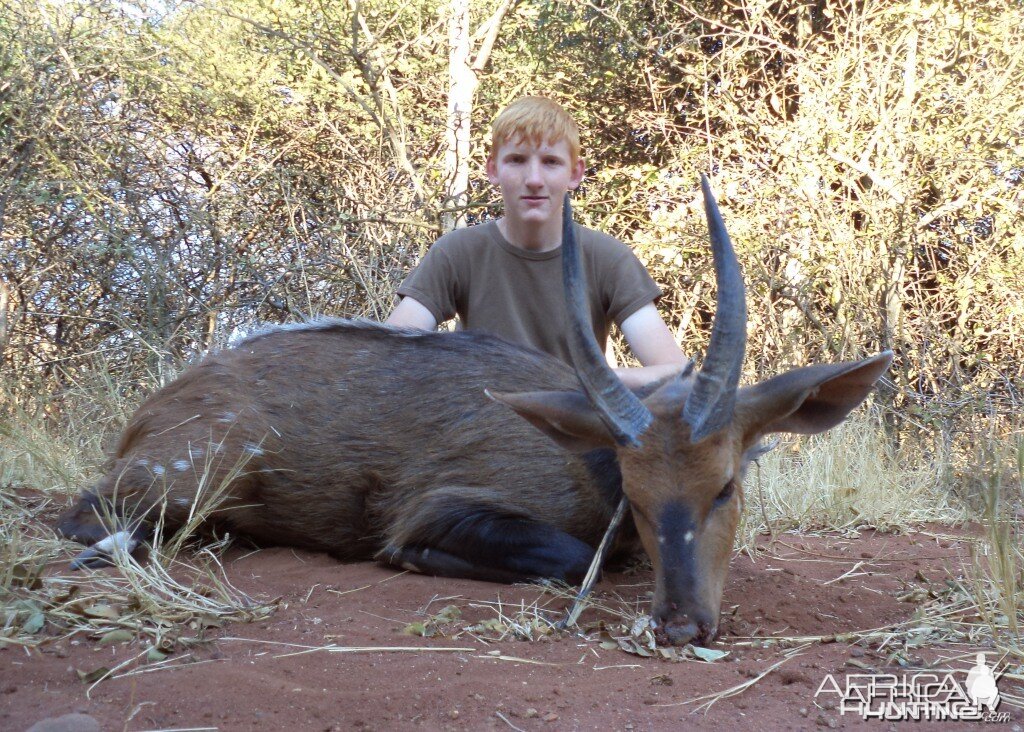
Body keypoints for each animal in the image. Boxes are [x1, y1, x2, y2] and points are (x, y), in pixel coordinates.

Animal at [58, 179, 888, 647]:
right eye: (639, 494)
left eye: (726, 486)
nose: (682, 623)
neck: (587, 469)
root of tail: (152, 409)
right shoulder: (442, 504)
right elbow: (564, 556)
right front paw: (409, 559)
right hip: (198, 474)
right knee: (85, 516)